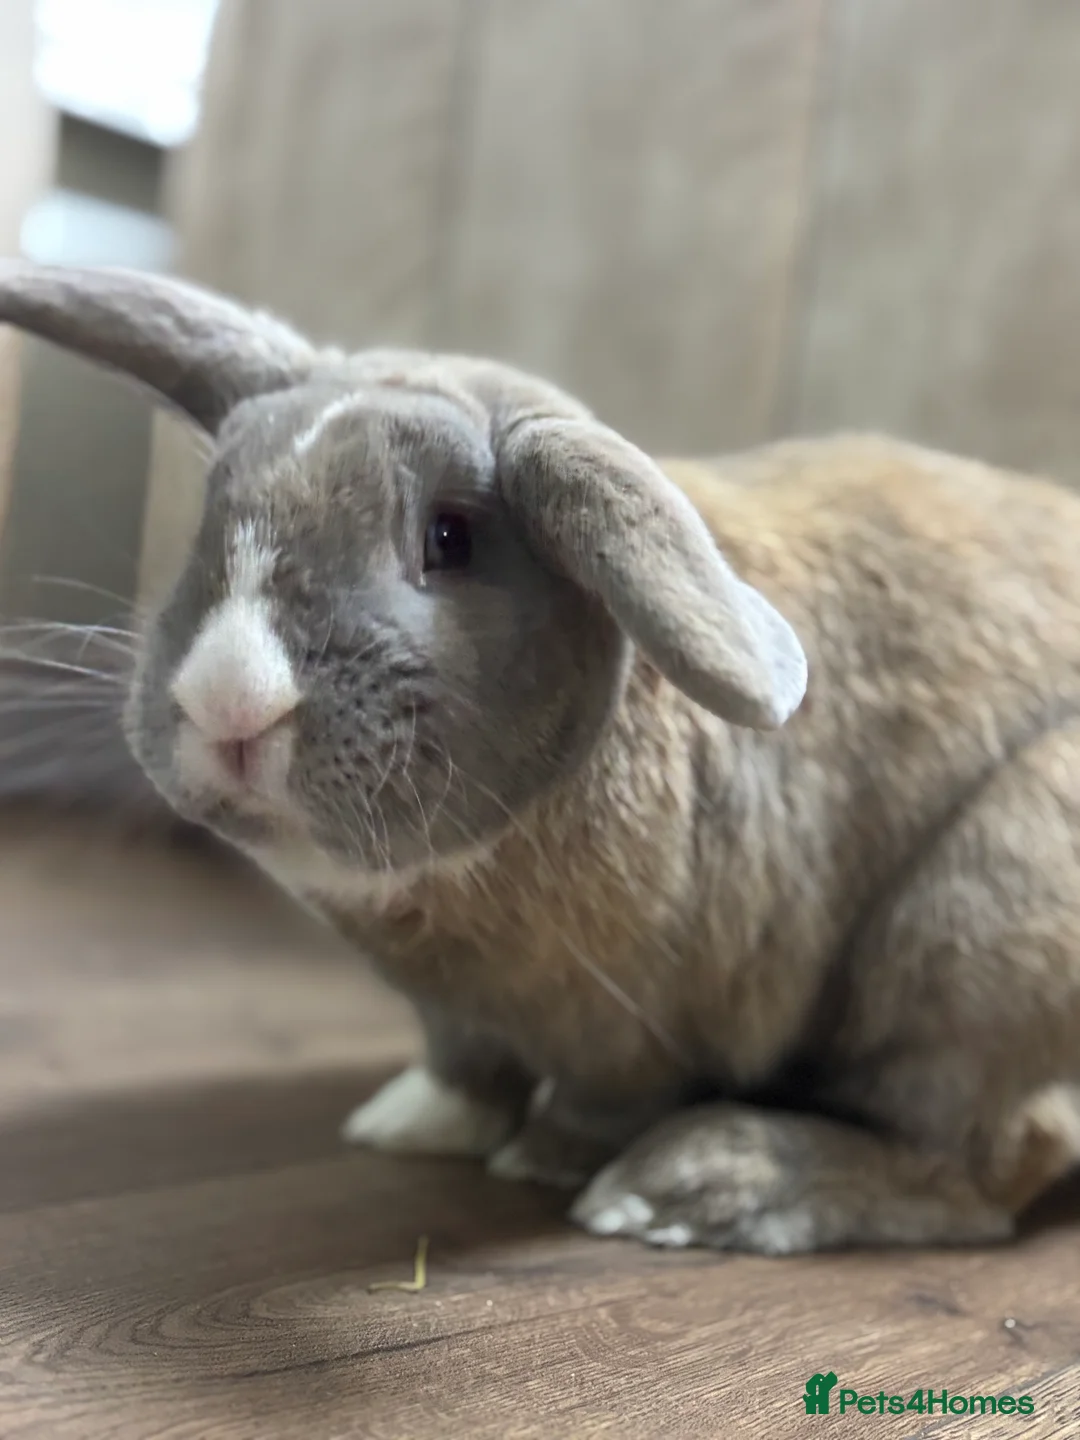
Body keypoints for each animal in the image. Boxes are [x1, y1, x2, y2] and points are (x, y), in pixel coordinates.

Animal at [2, 258, 1080, 1257]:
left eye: (451, 537)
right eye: (210, 518)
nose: (229, 701)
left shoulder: (638, 1028)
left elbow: (603, 1098)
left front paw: (549, 1160)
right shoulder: (461, 1019)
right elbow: (463, 1068)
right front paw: (411, 1127)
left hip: (983, 929)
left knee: (991, 1155)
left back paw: (695, 1187)